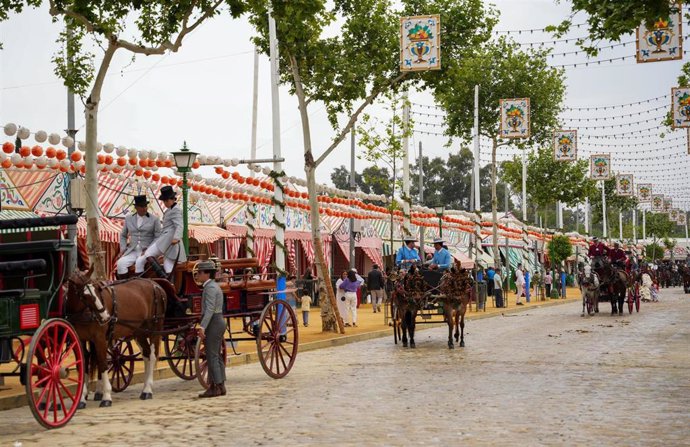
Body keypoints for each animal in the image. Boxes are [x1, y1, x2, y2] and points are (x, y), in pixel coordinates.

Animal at [65, 268, 167, 408]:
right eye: (85, 296)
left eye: (97, 290)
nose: (105, 315)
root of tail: (156, 285)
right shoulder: (80, 339)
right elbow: (83, 365)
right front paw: (81, 399)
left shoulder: (100, 338)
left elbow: (103, 364)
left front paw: (106, 396)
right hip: (139, 331)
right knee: (146, 354)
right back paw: (145, 387)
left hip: (154, 328)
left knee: (152, 355)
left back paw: (148, 390)